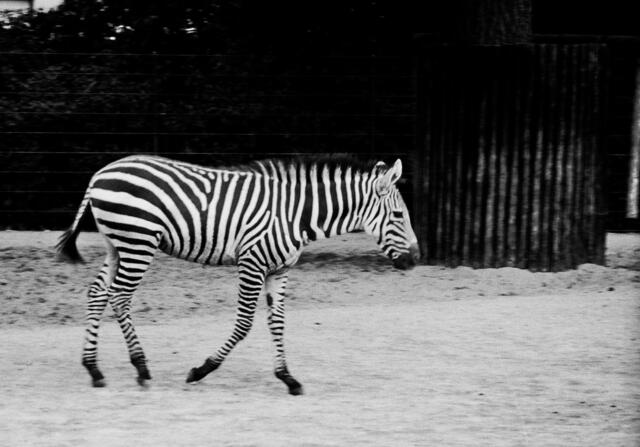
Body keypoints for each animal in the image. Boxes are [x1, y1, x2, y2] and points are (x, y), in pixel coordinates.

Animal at [57, 155, 420, 395]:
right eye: (398, 215)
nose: (416, 260)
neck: (297, 216)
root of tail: (101, 173)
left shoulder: (279, 270)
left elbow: (277, 322)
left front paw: (288, 377)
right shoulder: (252, 263)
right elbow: (245, 323)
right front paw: (201, 370)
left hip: (116, 245)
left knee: (98, 293)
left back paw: (94, 369)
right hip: (138, 241)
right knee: (119, 297)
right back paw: (141, 367)